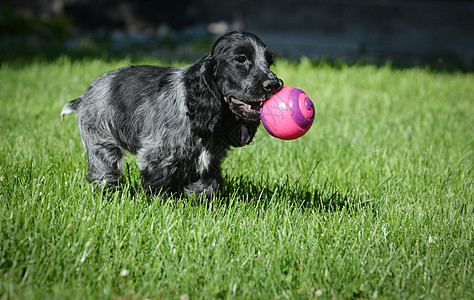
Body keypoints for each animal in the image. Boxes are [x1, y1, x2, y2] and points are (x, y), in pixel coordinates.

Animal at [59, 31, 282, 198]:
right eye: (241, 59)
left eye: (269, 61)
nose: (275, 84)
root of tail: (85, 95)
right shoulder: (157, 154)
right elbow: (157, 182)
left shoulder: (209, 161)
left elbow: (207, 185)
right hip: (100, 141)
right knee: (104, 171)